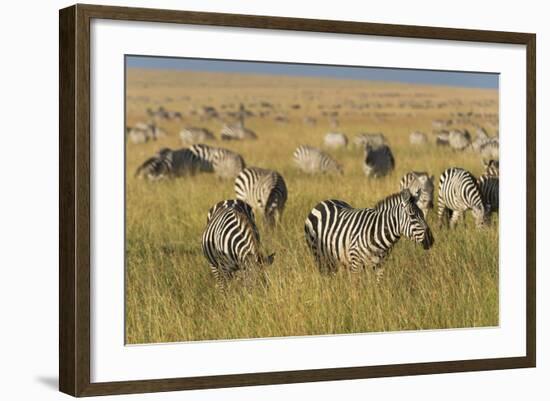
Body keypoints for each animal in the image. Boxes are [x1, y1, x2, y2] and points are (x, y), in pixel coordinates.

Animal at [306, 188, 436, 280]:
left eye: (423, 214)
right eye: (412, 216)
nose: (430, 240)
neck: (377, 232)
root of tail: (323, 202)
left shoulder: (380, 264)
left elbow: (378, 286)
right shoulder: (355, 262)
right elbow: (356, 289)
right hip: (318, 254)